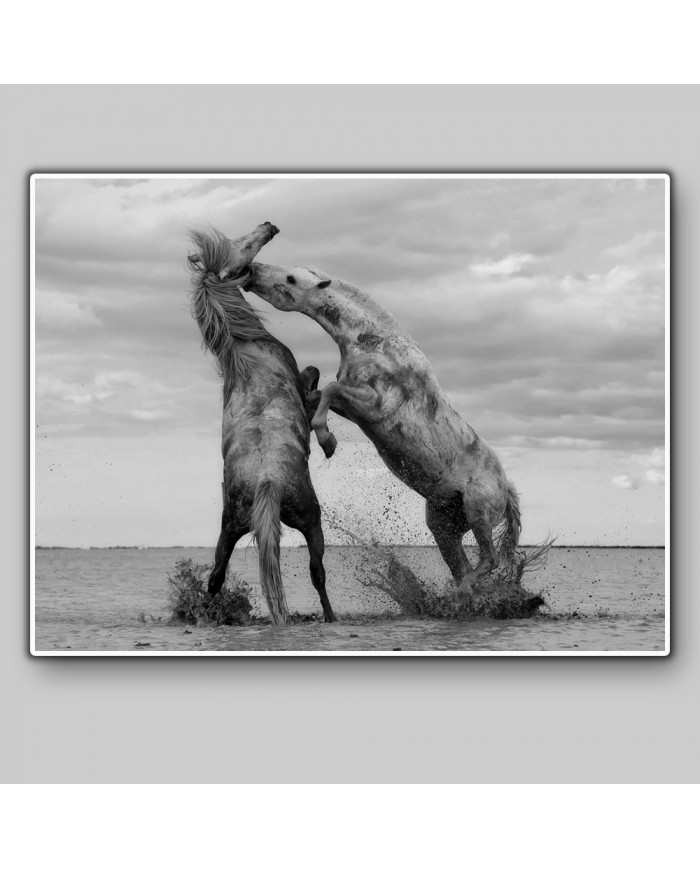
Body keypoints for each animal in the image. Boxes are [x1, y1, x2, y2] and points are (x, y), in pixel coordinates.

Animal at [187, 225, 336, 625]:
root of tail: (267, 481)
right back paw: (331, 616)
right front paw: (328, 440)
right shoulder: (301, 383)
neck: (244, 349)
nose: (269, 226)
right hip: (312, 520)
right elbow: (315, 382)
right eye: (241, 246)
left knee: (216, 576)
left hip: (229, 528)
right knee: (318, 573)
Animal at [244, 261, 524, 599]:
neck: (374, 344)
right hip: (443, 524)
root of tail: (506, 490)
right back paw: (461, 596)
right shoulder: (354, 408)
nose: (252, 269)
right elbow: (320, 394)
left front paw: (327, 440)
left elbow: (330, 390)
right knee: (462, 565)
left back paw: (464, 591)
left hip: (478, 510)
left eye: (291, 278)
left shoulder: (374, 405)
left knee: (489, 559)